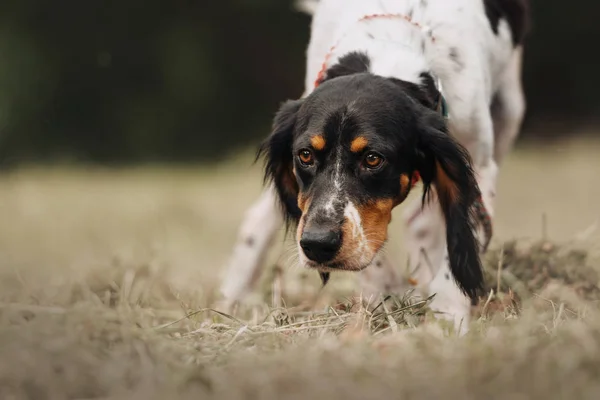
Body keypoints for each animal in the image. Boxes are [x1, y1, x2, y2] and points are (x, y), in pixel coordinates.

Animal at [219, 0, 524, 332]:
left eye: (373, 158)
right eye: (306, 155)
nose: (317, 244)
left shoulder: (477, 165)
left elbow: (456, 252)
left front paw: (448, 319)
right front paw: (387, 293)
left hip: (510, 109)